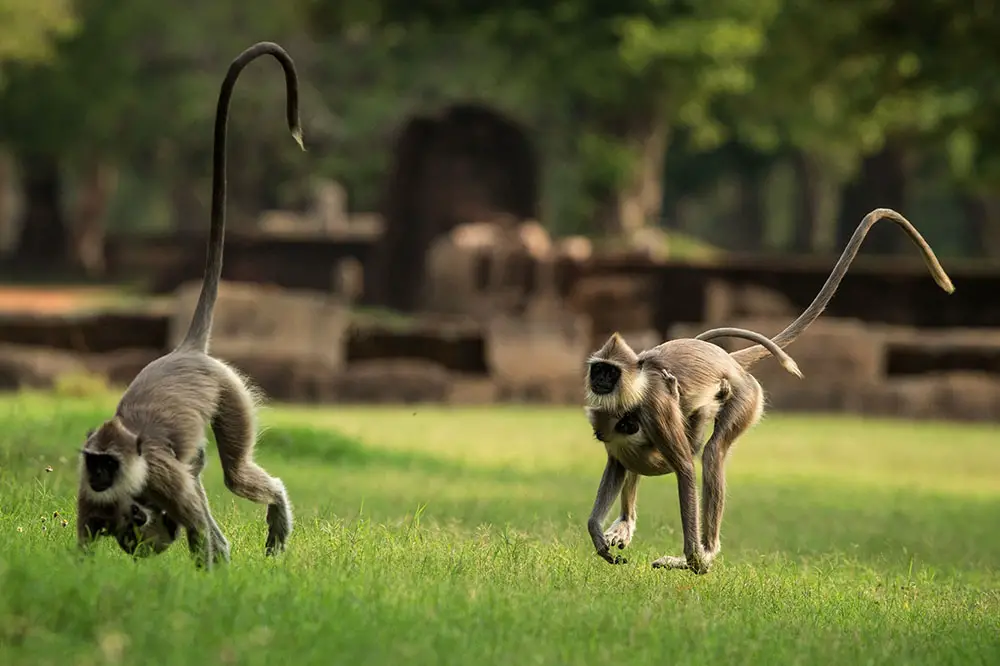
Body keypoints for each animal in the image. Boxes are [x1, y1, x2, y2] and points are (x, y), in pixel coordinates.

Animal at [76, 41, 304, 568]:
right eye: (93, 464)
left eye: (107, 464)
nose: (99, 477)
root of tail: (186, 350)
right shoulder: (93, 498)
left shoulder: (161, 476)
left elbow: (202, 534)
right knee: (205, 470)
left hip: (230, 392)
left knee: (235, 474)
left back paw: (277, 507)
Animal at [584, 208, 956, 572]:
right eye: (598, 369)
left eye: (609, 372)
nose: (600, 381)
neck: (635, 390)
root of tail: (729, 361)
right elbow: (619, 461)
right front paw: (598, 532)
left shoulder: (654, 407)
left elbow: (686, 467)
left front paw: (694, 560)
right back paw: (627, 523)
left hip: (747, 398)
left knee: (711, 452)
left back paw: (705, 553)